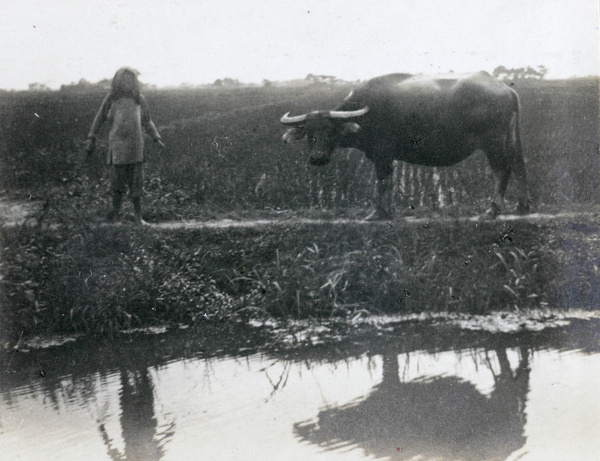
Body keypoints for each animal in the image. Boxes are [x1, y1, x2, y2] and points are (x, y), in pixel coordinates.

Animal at [282, 71, 528, 219]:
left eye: (330, 130)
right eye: (309, 133)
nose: (317, 158)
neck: (366, 113)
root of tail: (505, 88)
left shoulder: (382, 155)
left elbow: (382, 182)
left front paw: (378, 213)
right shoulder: (387, 157)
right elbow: (389, 182)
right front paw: (388, 211)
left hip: (493, 142)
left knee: (501, 170)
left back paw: (492, 210)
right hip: (511, 139)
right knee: (519, 166)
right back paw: (522, 206)